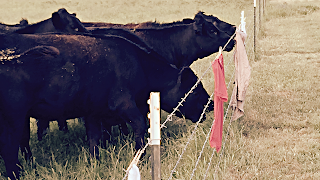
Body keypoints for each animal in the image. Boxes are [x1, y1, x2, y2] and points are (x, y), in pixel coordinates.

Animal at [0, 33, 212, 179]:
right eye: (194, 90)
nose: (209, 106)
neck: (138, 64)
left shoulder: (93, 111)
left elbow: (94, 140)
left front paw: (95, 164)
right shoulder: (123, 103)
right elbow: (140, 126)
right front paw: (140, 158)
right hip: (13, 119)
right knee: (10, 152)